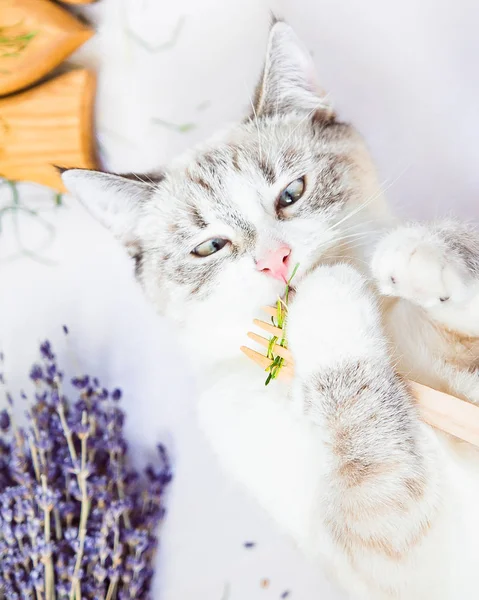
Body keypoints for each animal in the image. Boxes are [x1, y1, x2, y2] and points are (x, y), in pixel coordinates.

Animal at [62, 19, 479, 600]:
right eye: (210, 247)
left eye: (292, 193)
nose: (274, 260)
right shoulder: (388, 546)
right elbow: (365, 440)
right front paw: (326, 302)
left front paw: (416, 257)